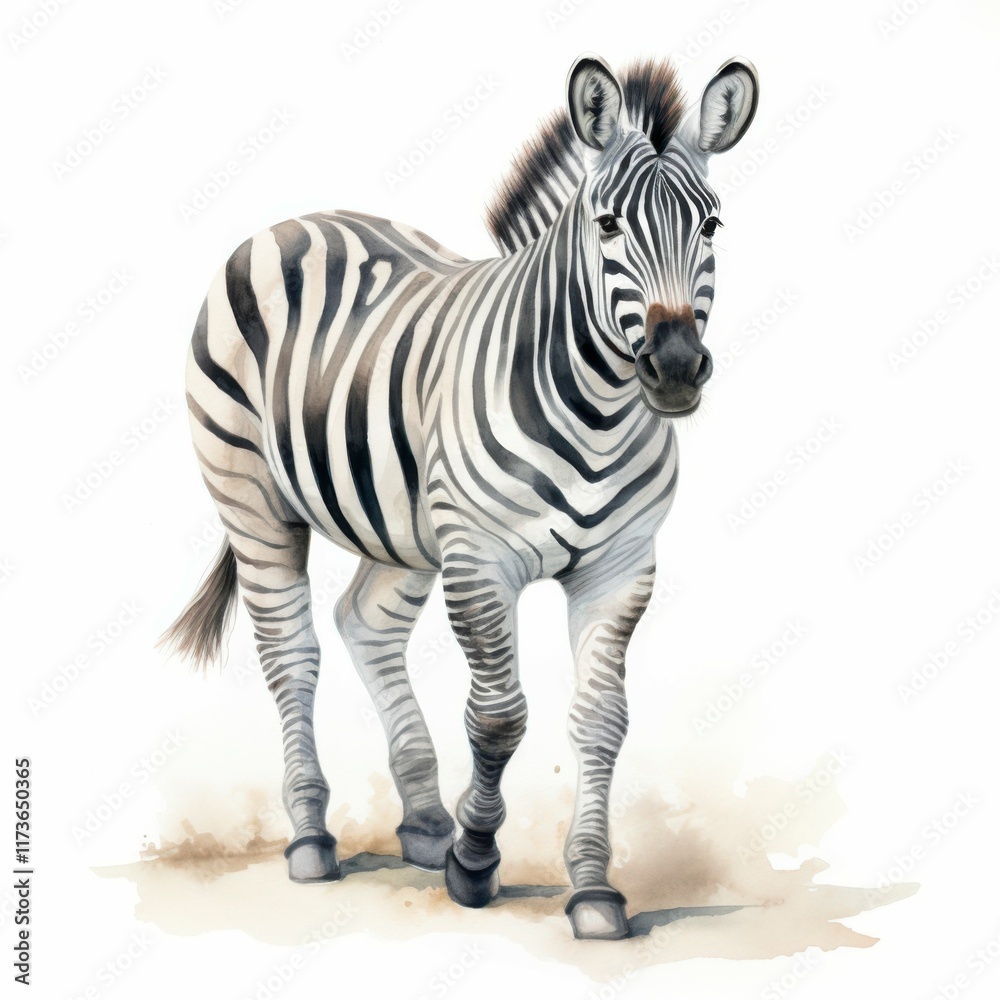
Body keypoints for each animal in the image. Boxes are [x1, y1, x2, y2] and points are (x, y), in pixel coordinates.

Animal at [160, 53, 759, 940]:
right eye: (607, 225)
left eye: (712, 227)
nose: (678, 367)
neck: (598, 409)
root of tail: (297, 221)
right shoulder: (480, 560)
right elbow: (499, 714)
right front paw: (476, 862)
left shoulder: (620, 568)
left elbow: (602, 721)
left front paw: (592, 888)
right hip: (252, 497)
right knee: (291, 652)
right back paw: (311, 838)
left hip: (402, 524)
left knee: (363, 624)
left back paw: (422, 821)